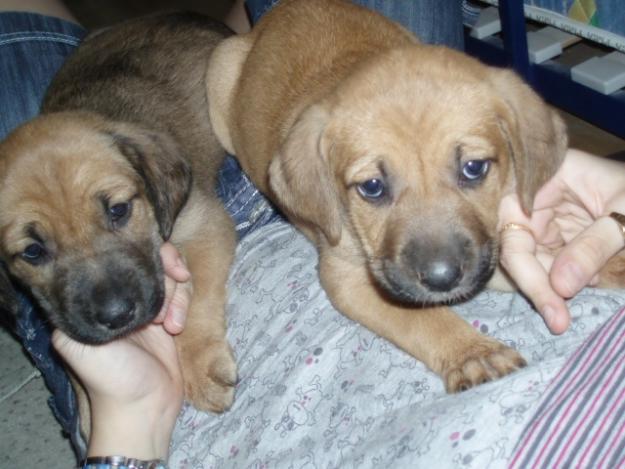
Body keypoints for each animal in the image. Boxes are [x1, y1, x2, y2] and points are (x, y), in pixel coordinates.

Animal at [0, 12, 236, 412]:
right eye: (32, 251)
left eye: (119, 210)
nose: (118, 316)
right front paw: (86, 411)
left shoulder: (201, 224)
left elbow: (196, 300)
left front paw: (200, 366)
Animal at [207, 0, 568, 392]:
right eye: (372, 187)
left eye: (474, 168)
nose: (442, 279)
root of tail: (271, 19)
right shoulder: (347, 277)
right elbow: (422, 319)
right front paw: (472, 353)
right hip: (219, 73)